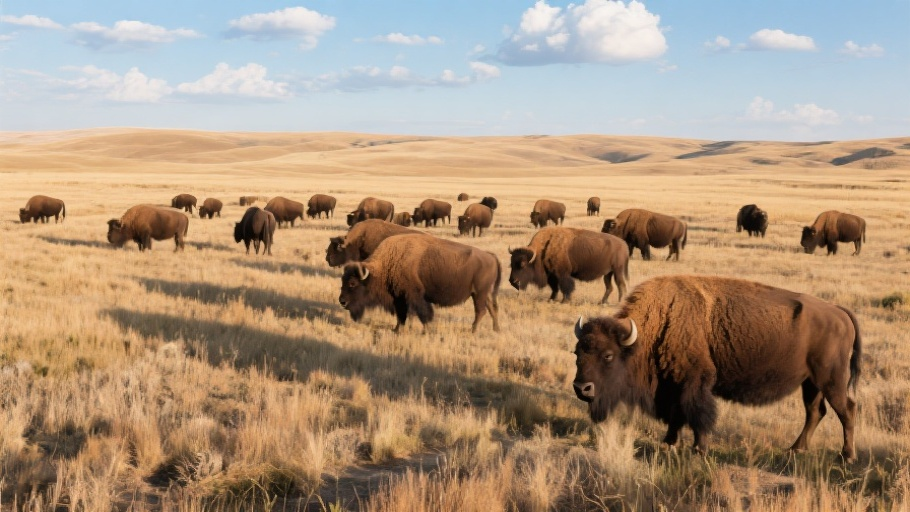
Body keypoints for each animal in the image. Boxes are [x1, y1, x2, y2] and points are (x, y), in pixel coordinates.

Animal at [338, 236, 501, 333]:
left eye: (352, 283)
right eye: (342, 281)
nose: (342, 301)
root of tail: (491, 256)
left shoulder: (414, 296)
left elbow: (423, 313)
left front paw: (426, 330)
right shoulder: (398, 298)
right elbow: (401, 315)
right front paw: (397, 330)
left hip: (479, 294)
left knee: (480, 311)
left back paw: (473, 330)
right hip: (484, 294)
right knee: (492, 309)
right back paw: (495, 329)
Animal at [572, 275, 861, 461]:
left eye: (608, 355)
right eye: (577, 352)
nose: (582, 388)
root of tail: (839, 312)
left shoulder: (694, 381)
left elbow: (698, 414)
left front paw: (699, 449)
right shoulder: (672, 384)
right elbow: (677, 416)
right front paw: (669, 444)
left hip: (830, 380)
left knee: (846, 409)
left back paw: (847, 456)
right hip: (810, 383)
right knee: (815, 412)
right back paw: (795, 450)